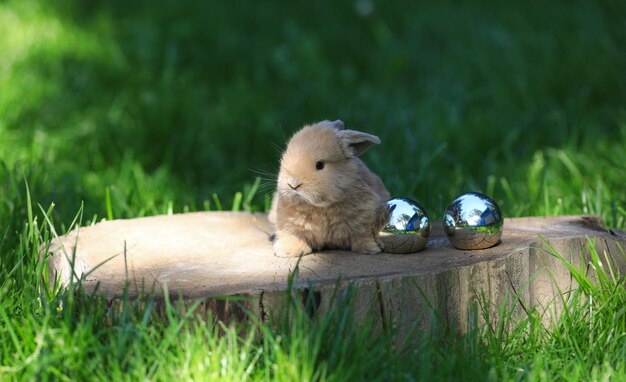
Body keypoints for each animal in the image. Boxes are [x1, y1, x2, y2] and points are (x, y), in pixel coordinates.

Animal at [270, 119, 390, 256]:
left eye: (319, 165)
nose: (293, 184)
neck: (320, 207)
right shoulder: (289, 225)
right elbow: (294, 235)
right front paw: (288, 251)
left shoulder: (365, 219)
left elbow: (363, 235)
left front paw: (371, 248)